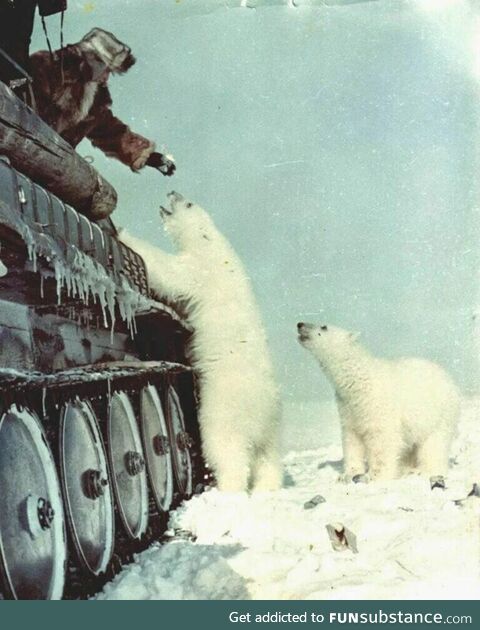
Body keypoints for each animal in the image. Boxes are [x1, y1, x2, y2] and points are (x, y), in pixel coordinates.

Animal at [119, 191, 282, 494]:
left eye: (188, 203)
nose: (172, 192)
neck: (213, 243)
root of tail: (263, 411)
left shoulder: (199, 270)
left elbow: (170, 272)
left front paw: (125, 232)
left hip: (224, 408)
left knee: (227, 450)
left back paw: (227, 490)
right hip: (274, 426)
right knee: (269, 458)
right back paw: (267, 487)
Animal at [296, 324, 462, 482]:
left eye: (324, 327)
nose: (300, 324)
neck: (360, 382)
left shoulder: (378, 406)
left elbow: (383, 441)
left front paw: (374, 476)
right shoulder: (347, 408)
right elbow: (351, 440)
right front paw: (347, 475)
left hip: (439, 414)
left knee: (434, 445)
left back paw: (425, 470)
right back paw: (407, 468)